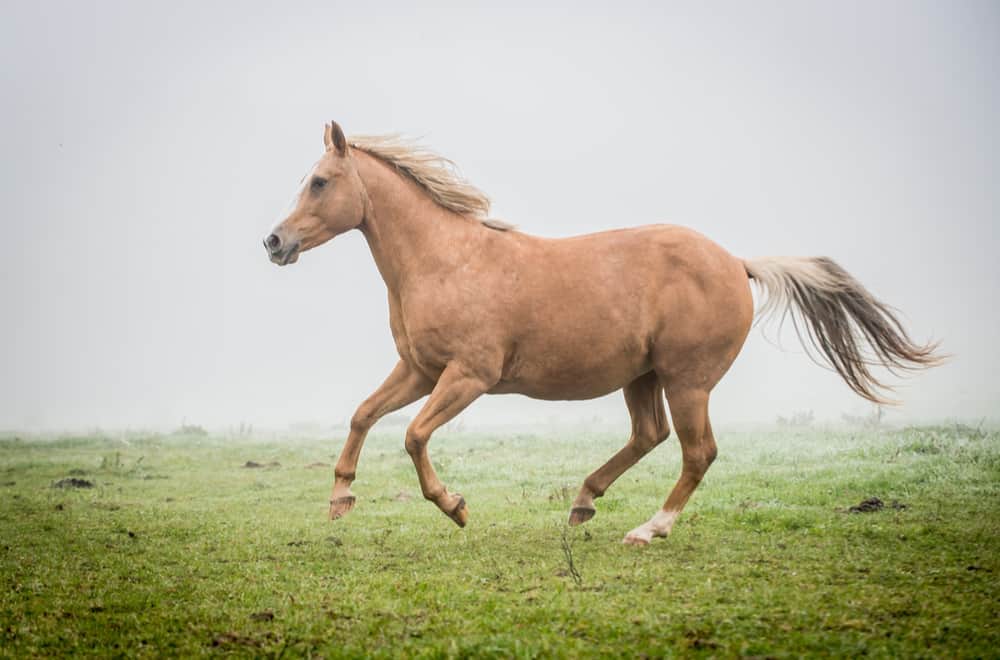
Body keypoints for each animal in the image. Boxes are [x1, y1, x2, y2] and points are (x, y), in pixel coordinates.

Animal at [263, 121, 941, 545]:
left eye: (319, 181)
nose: (274, 242)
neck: (446, 260)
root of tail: (737, 262)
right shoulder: (421, 370)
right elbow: (363, 414)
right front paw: (340, 498)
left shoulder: (468, 376)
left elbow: (412, 436)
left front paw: (454, 507)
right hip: (642, 377)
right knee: (649, 435)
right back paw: (584, 500)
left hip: (687, 381)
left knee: (697, 452)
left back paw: (648, 529)